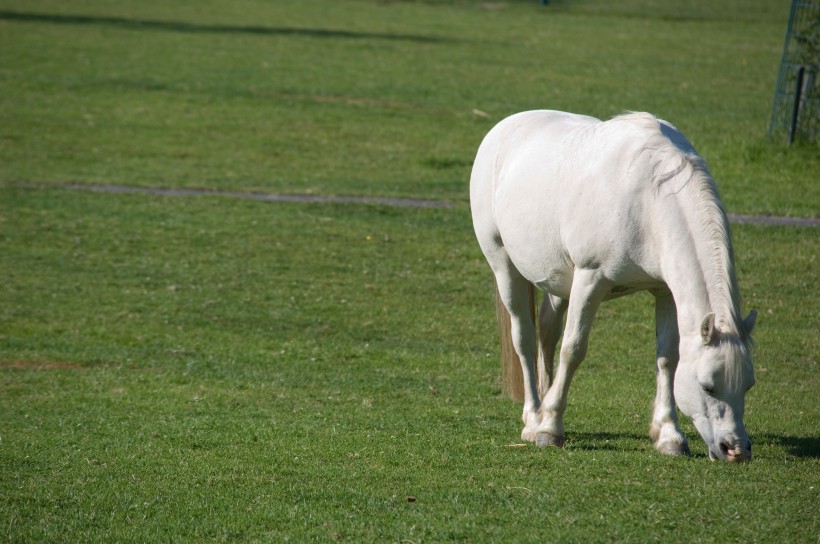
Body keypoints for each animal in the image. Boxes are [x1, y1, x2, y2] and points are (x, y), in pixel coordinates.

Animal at [468, 110, 756, 460]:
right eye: (708, 386)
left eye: (748, 385)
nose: (736, 450)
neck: (647, 199)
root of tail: (505, 127)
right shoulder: (590, 279)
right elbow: (573, 349)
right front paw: (550, 429)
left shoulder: (664, 291)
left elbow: (667, 358)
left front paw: (669, 436)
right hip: (504, 266)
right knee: (523, 338)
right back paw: (534, 418)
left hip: (558, 281)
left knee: (546, 333)